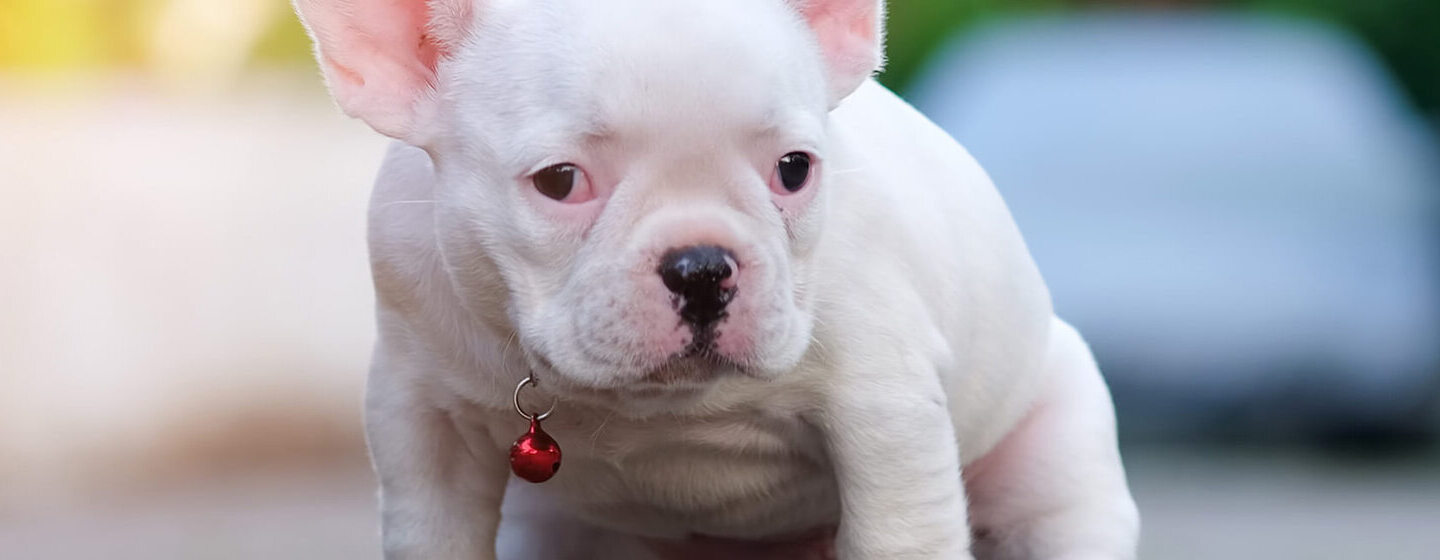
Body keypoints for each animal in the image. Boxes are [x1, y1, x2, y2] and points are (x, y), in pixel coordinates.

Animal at [298, 1, 1134, 558]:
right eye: (560, 181)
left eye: (794, 169)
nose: (701, 266)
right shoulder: (421, 420)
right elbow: (434, 531)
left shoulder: (883, 415)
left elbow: (898, 532)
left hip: (1056, 466)